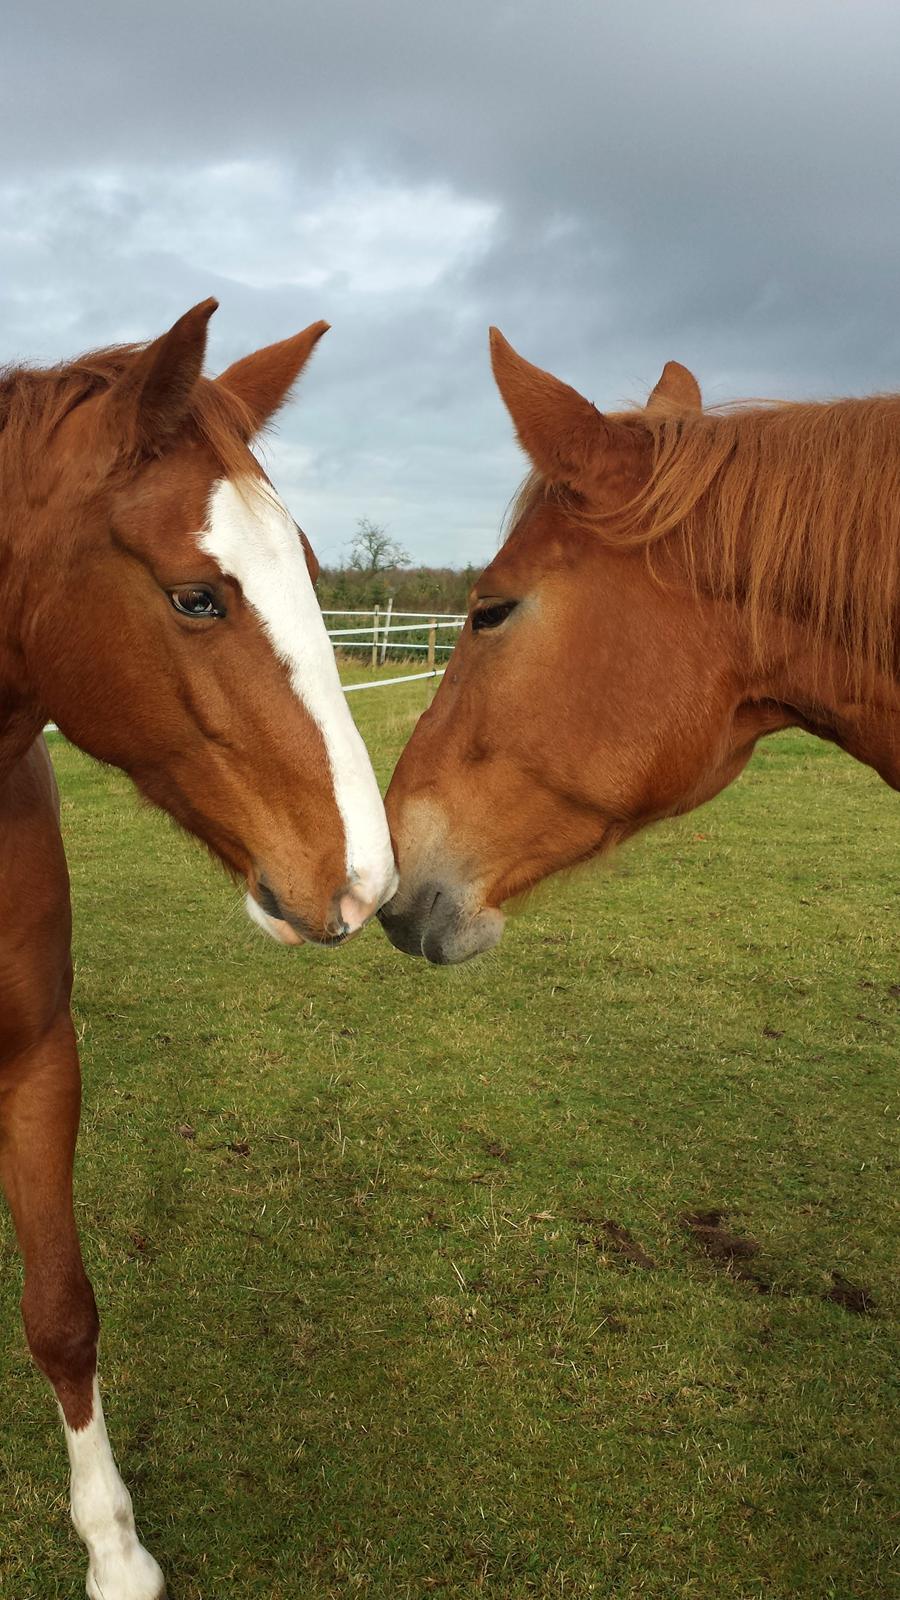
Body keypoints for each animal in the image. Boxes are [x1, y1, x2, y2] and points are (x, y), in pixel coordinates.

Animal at [0, 302, 393, 1600]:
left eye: (313, 573)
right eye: (196, 598)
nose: (366, 879)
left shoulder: (38, 1057)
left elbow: (63, 1308)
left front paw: (114, 1547)